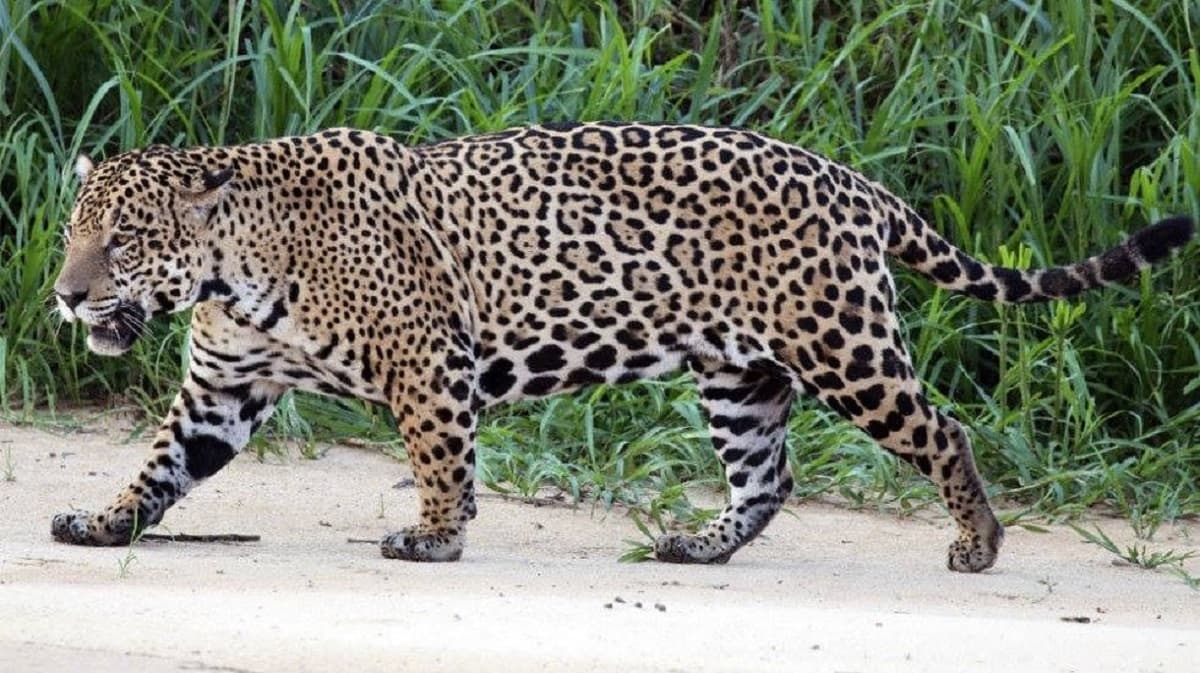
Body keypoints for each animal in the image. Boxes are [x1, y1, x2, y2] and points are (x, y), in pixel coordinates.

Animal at [51, 123, 1193, 571]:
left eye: (124, 241)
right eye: (73, 233)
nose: (63, 295)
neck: (237, 267)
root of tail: (850, 178)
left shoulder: (429, 362)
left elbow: (440, 457)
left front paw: (436, 536)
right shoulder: (221, 390)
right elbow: (159, 469)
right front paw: (102, 525)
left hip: (843, 344)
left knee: (943, 427)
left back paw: (977, 543)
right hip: (740, 374)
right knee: (767, 476)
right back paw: (700, 546)